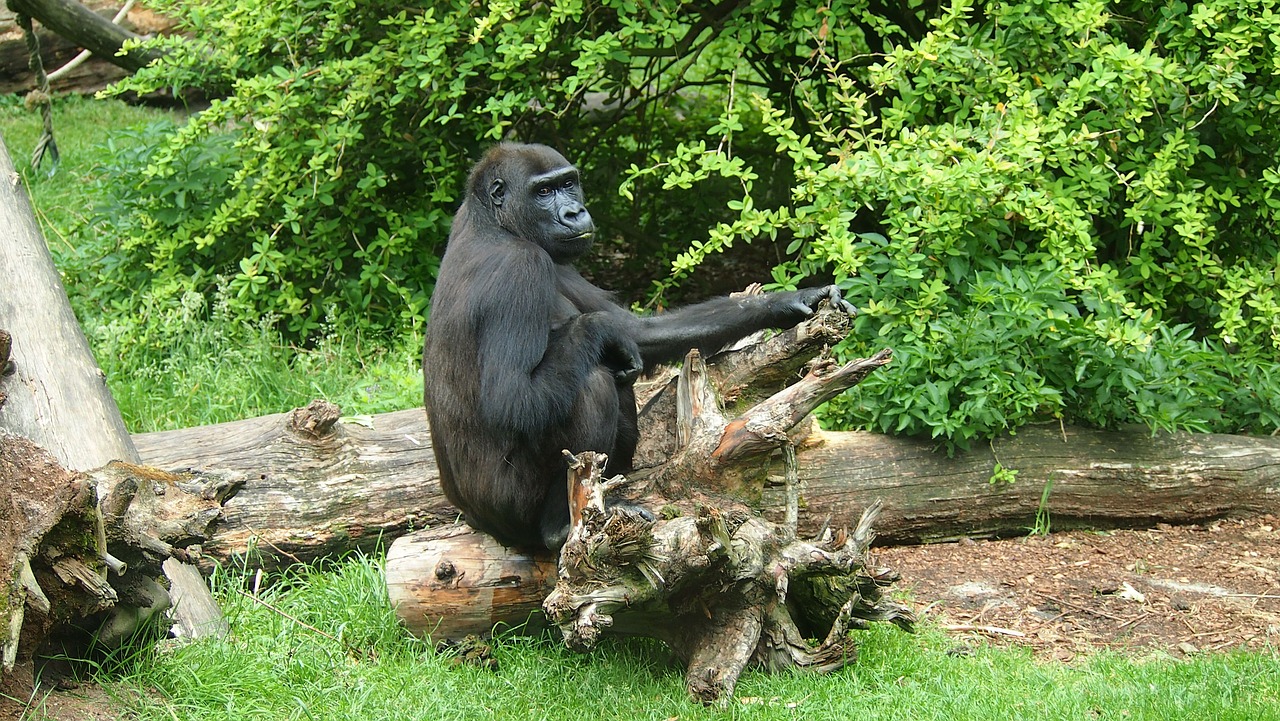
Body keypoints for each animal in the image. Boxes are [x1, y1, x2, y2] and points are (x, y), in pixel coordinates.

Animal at [424, 142, 855, 553]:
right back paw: (558, 526)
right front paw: (599, 328)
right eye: (543, 191)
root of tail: (474, 519)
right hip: (508, 513)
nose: (574, 212)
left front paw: (790, 302)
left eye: (567, 184)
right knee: (592, 382)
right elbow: (511, 398)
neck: (496, 222)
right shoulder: (521, 266)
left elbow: (640, 332)